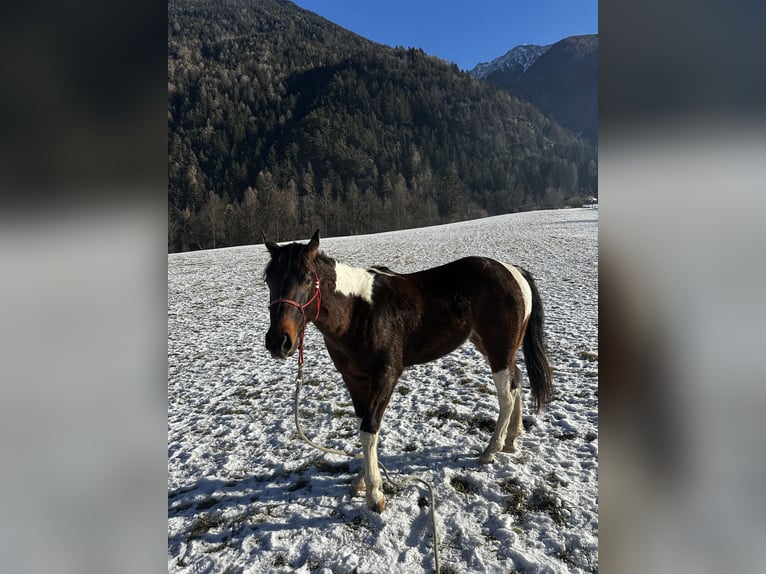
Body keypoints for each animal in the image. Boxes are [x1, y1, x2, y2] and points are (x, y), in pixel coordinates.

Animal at [264, 232, 552, 516]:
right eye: (269, 279)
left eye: (307, 278)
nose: (278, 342)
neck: (358, 311)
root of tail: (512, 270)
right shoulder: (354, 379)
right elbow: (362, 426)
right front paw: (362, 481)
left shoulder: (387, 375)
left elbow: (370, 428)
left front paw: (375, 494)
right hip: (493, 347)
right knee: (517, 381)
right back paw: (512, 438)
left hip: (499, 350)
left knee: (507, 395)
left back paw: (491, 450)